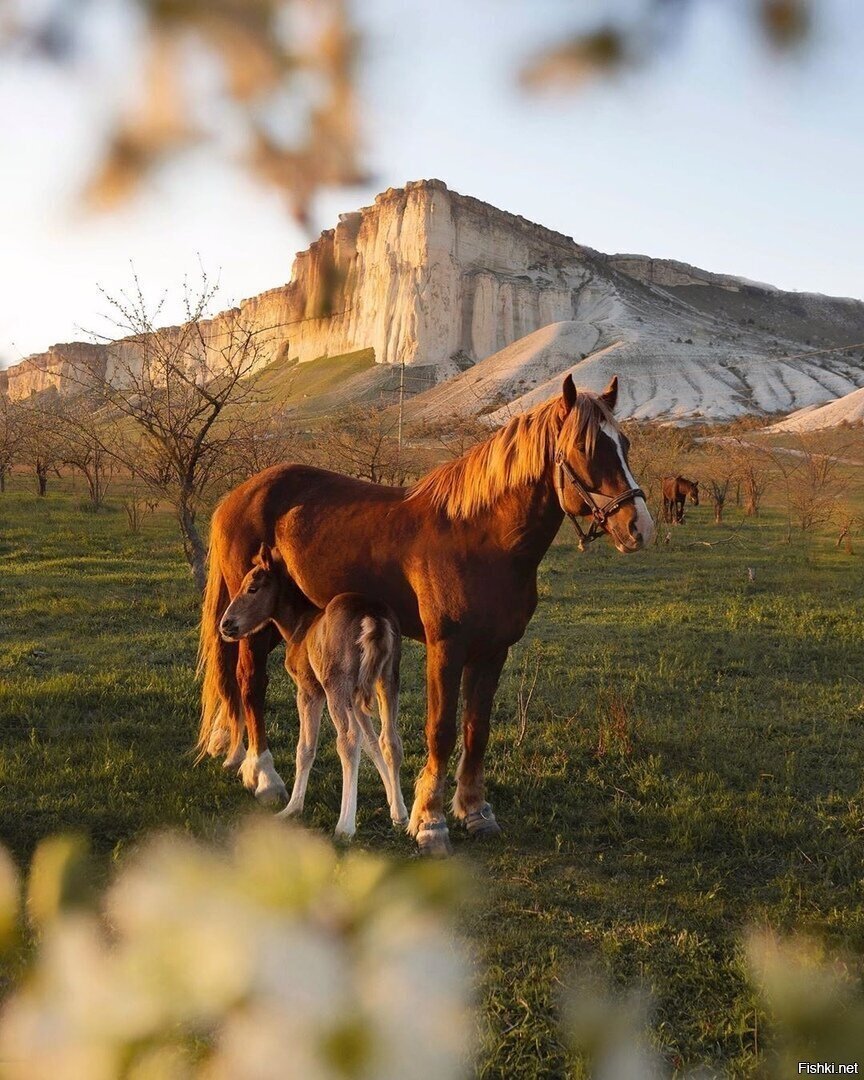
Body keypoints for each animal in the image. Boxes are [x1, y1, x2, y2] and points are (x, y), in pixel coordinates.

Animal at [218, 543, 407, 839]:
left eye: (252, 588)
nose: (226, 625)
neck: (299, 625)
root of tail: (373, 616)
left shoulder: (309, 690)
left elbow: (305, 747)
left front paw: (292, 808)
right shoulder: (357, 695)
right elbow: (372, 742)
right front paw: (395, 807)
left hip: (335, 686)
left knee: (347, 740)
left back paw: (345, 825)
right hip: (387, 680)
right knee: (391, 739)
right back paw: (399, 814)